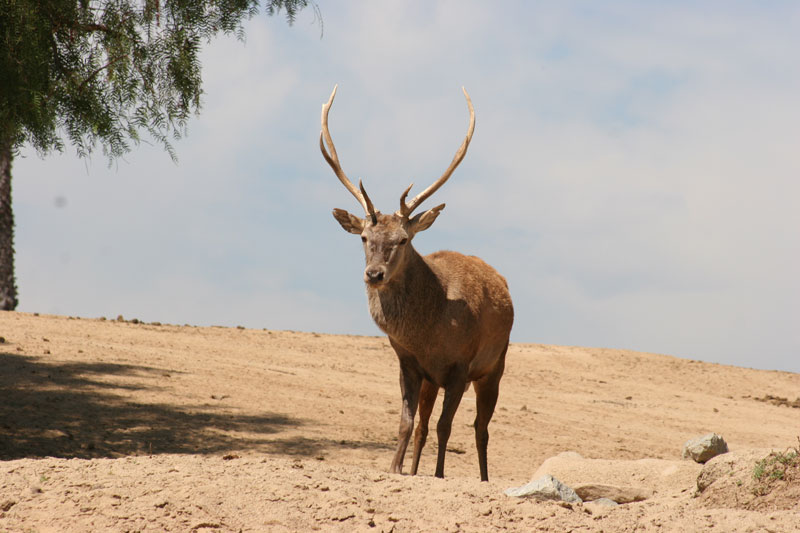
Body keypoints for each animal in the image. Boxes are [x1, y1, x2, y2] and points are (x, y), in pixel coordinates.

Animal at [320, 85, 514, 482]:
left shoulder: (459, 367)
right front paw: (396, 469)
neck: (428, 333)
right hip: (433, 380)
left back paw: (484, 477)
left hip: (494, 365)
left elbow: (446, 426)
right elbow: (407, 424)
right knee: (426, 425)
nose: (374, 274)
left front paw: (438, 474)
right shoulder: (409, 363)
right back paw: (414, 469)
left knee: (480, 428)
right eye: (364, 237)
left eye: (403, 240)